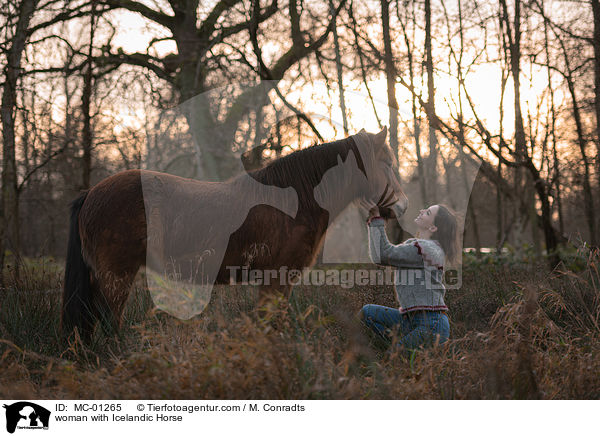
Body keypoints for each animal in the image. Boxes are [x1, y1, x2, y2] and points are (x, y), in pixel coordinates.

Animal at [62, 127, 408, 338]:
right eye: (388, 164)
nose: (403, 207)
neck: (293, 201)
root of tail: (91, 193)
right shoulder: (277, 277)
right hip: (116, 276)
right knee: (108, 322)